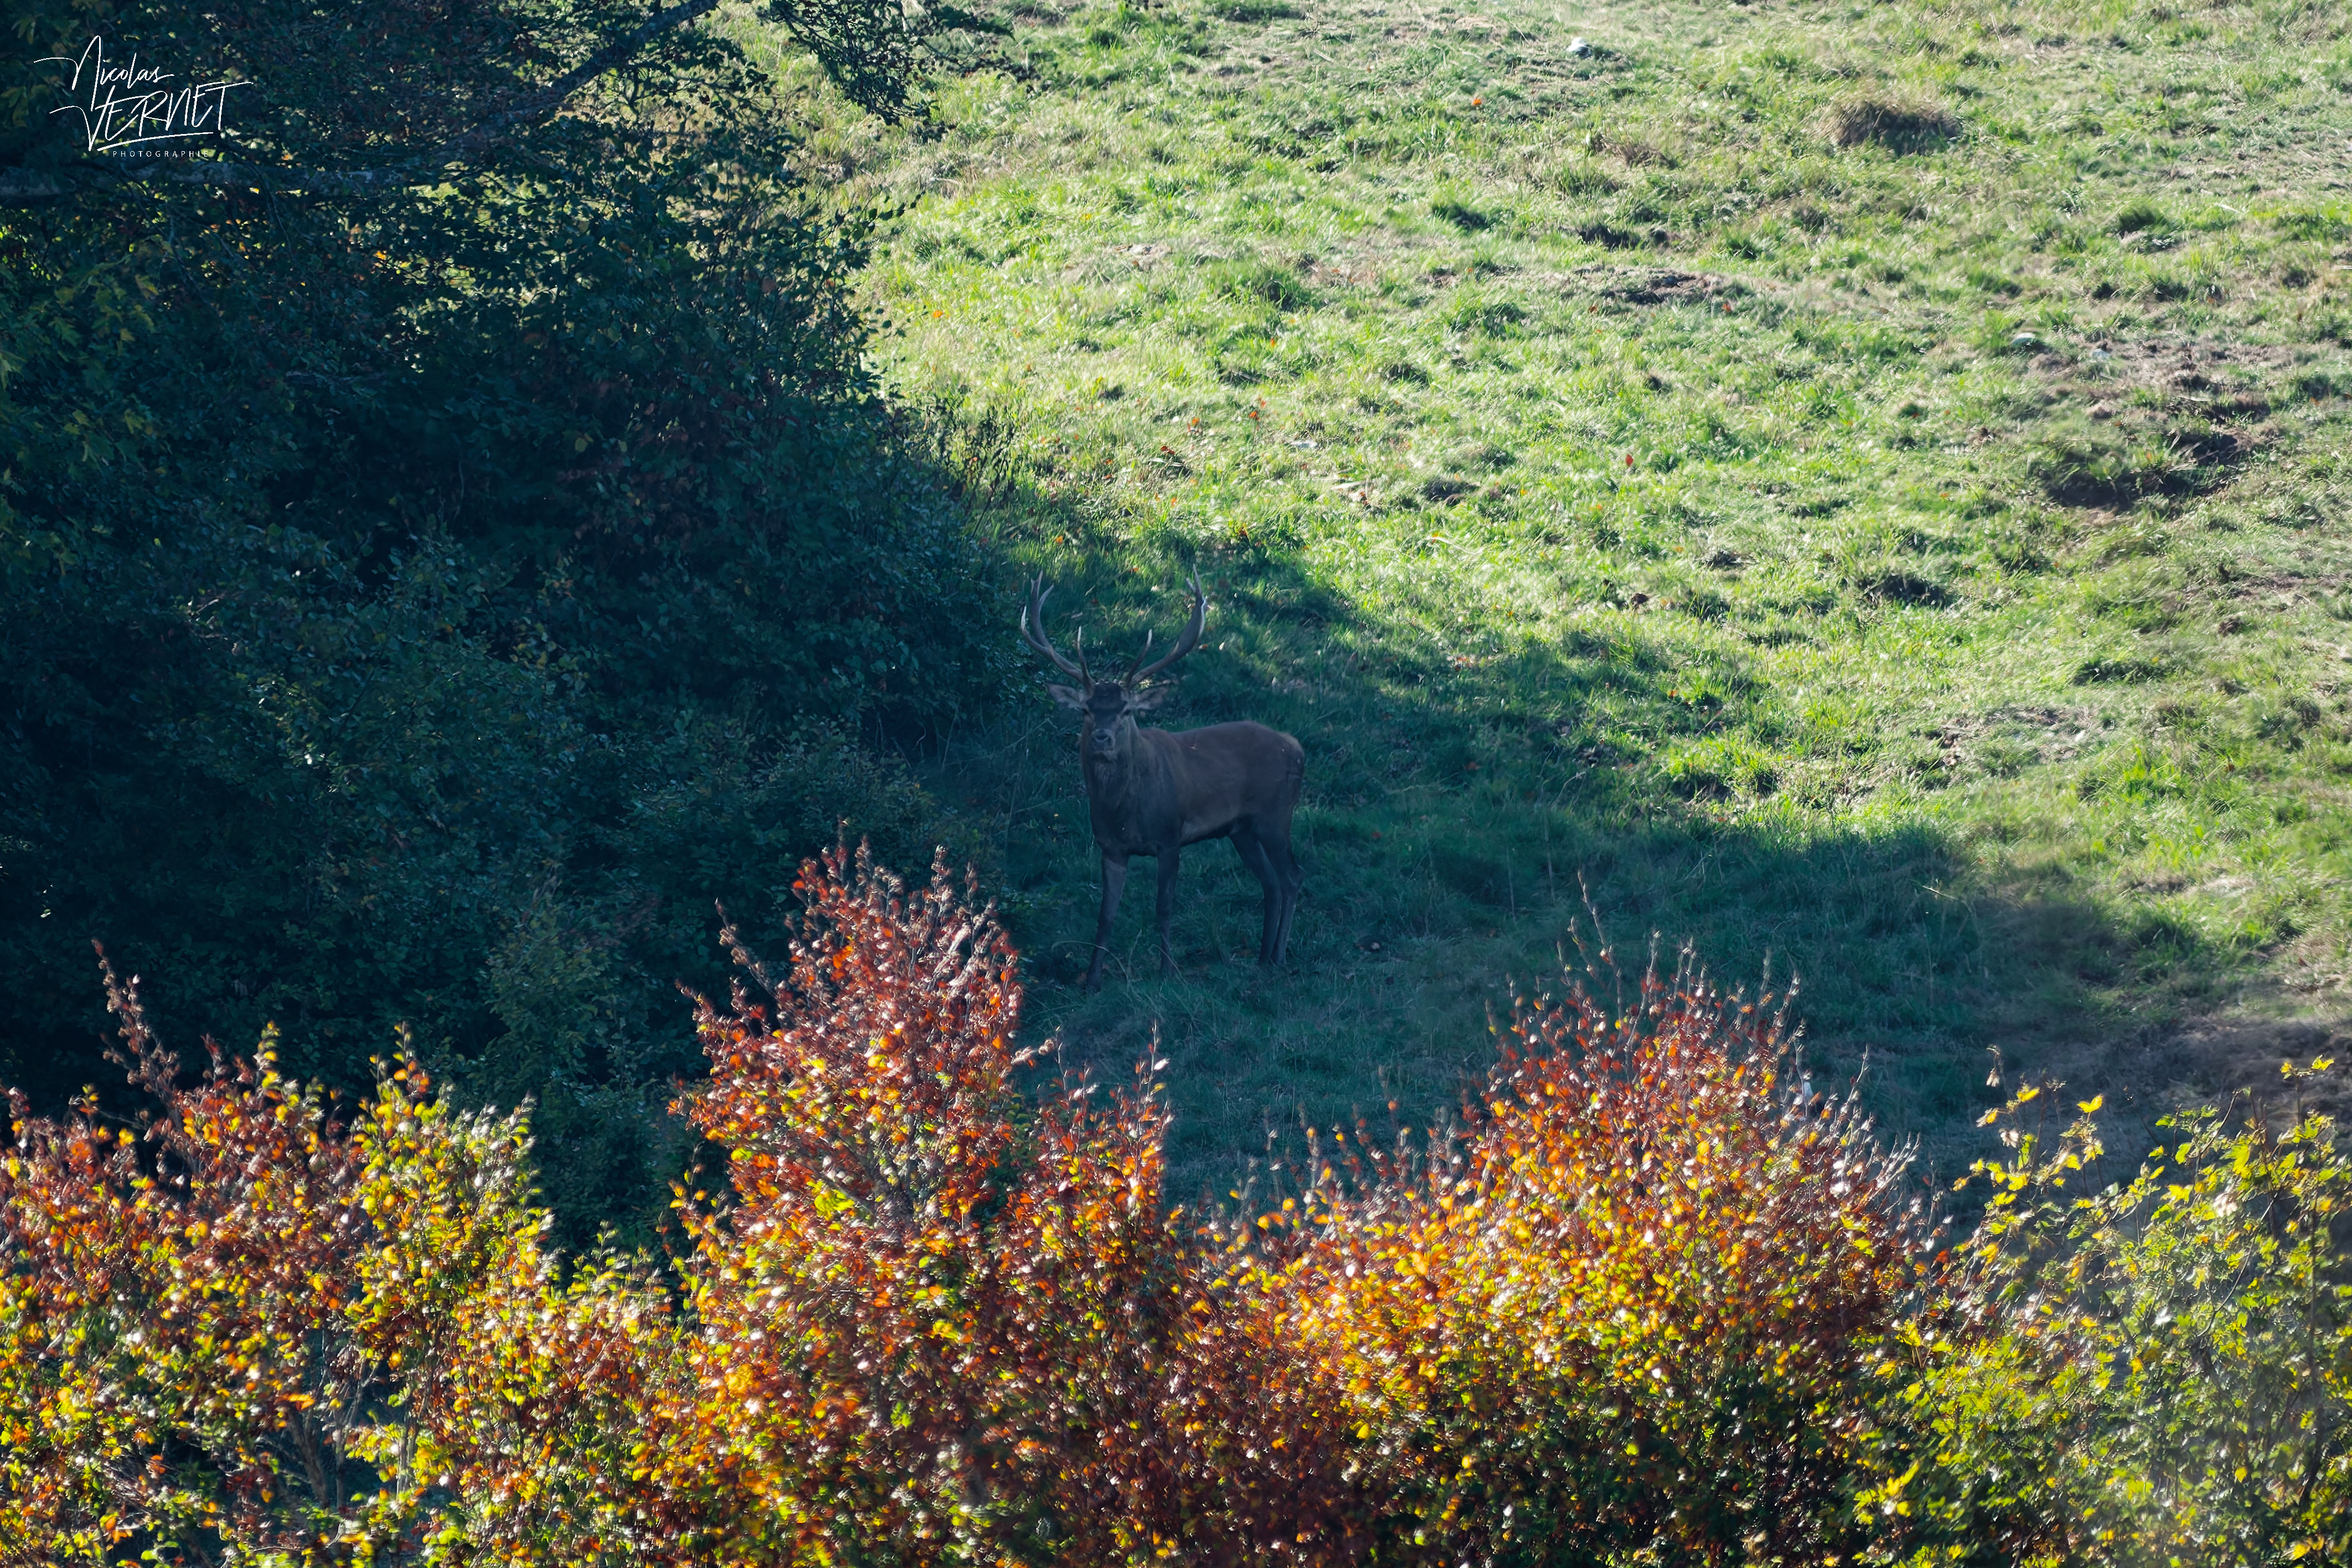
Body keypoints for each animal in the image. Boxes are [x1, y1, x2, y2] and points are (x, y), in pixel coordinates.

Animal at [1021, 570, 1304, 992]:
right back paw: (1263, 958)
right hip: (1242, 830)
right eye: (1087, 709)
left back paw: (1281, 956)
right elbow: (1105, 915)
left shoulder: (1171, 837)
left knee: (1292, 878)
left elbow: (1164, 907)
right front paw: (1091, 980)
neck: (1126, 811)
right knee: (1270, 883)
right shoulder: (1110, 848)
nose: (1102, 737)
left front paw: (1168, 971)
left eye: (1125, 710)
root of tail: (1296, 746)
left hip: (1276, 814)